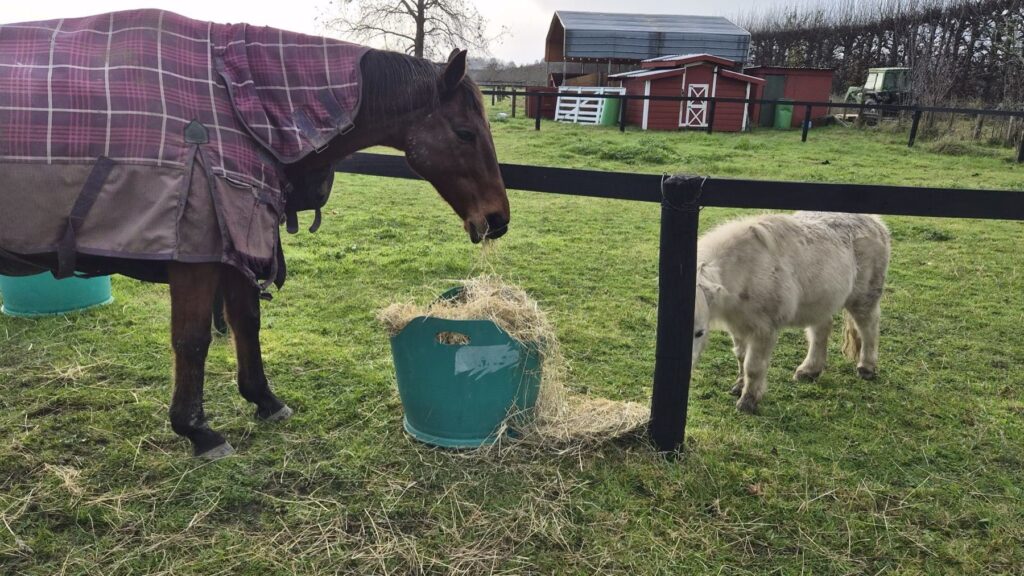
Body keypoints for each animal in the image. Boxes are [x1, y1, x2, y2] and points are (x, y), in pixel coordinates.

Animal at [0, 10, 508, 458]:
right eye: (465, 133)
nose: (498, 219)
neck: (233, 101)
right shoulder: (196, 254)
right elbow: (193, 340)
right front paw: (197, 430)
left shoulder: (236, 243)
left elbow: (246, 321)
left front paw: (263, 399)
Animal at [691, 212, 890, 414]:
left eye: (699, 333)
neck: (745, 270)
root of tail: (876, 222)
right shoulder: (738, 325)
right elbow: (741, 356)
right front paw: (739, 387)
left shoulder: (764, 329)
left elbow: (753, 365)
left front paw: (748, 401)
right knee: (821, 331)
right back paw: (809, 370)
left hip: (863, 298)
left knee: (868, 328)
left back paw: (866, 368)